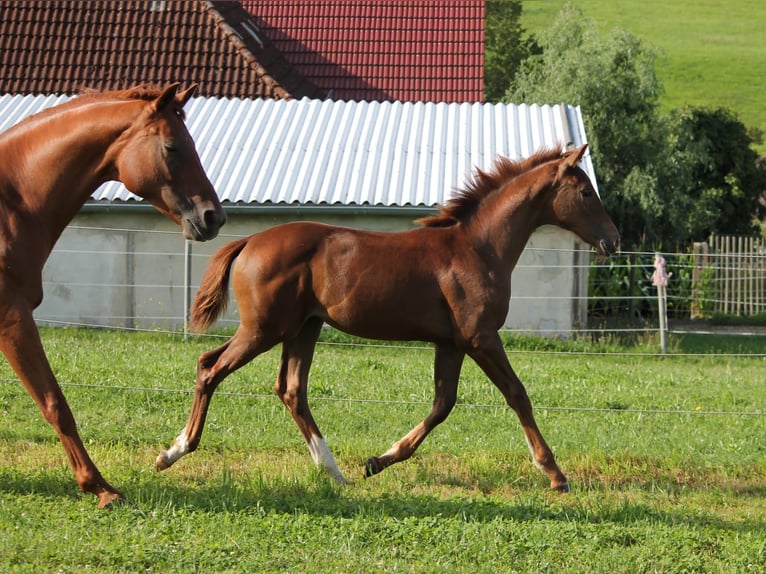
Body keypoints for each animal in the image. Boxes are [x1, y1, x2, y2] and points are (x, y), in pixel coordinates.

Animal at [0, 82, 226, 508]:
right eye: (173, 146)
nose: (214, 217)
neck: (10, 203)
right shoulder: (13, 316)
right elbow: (55, 402)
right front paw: (100, 487)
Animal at [159, 146, 620, 492]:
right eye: (585, 192)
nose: (613, 239)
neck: (477, 248)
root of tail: (250, 240)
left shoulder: (451, 343)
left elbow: (442, 404)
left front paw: (377, 461)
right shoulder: (481, 338)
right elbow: (517, 394)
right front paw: (555, 474)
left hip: (301, 328)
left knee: (289, 389)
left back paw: (334, 471)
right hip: (264, 328)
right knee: (211, 368)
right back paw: (173, 452)